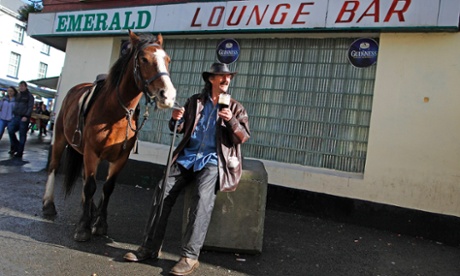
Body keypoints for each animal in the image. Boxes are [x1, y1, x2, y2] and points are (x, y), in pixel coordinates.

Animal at [42, 30, 176, 242]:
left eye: (167, 59)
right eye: (144, 59)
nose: (168, 95)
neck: (116, 113)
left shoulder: (121, 158)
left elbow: (107, 187)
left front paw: (99, 223)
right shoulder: (91, 152)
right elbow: (90, 186)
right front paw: (83, 226)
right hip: (61, 139)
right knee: (54, 167)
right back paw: (49, 204)